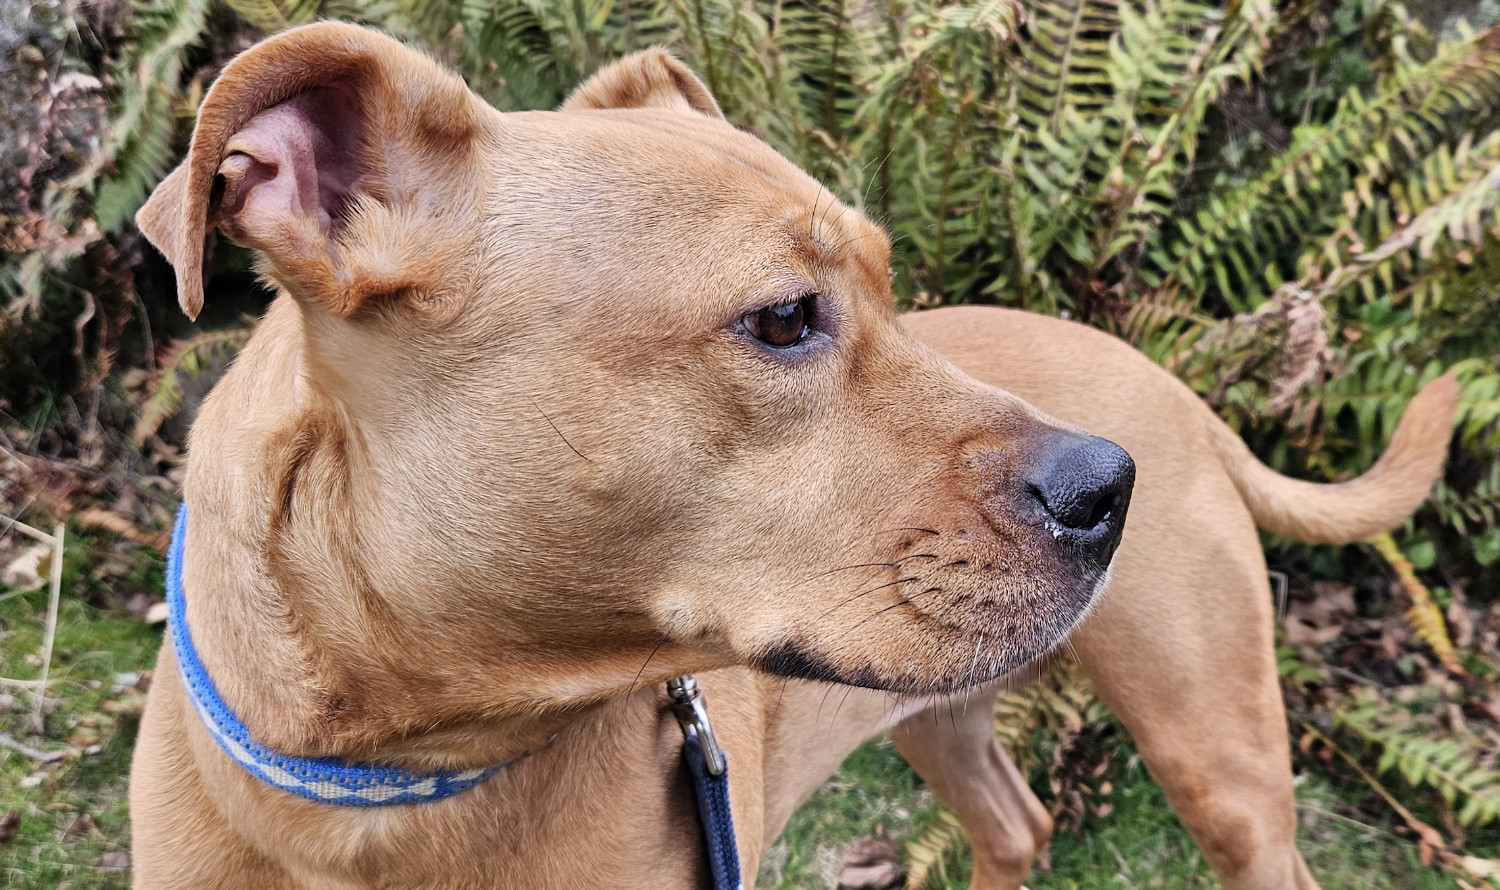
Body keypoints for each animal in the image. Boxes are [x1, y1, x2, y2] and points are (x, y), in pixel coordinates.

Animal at [132, 20, 1452, 888]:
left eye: (891, 289)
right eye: (782, 319)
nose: (1109, 486)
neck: (396, 769)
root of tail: (1169, 383)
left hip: (1219, 762)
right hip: (939, 708)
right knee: (1013, 825)